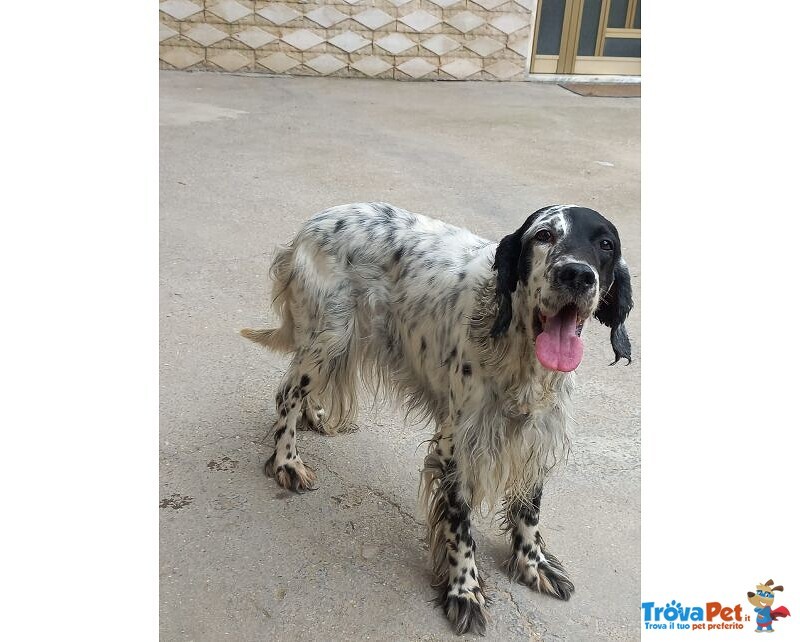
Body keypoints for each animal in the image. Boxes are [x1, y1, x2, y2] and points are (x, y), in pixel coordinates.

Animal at [241, 202, 636, 632]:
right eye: (544, 235)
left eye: (606, 244)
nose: (577, 274)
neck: (519, 351)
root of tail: (314, 223)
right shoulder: (457, 449)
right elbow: (460, 529)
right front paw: (464, 591)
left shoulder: (535, 436)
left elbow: (528, 508)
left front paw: (533, 564)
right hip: (328, 336)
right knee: (287, 394)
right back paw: (287, 461)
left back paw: (313, 415)